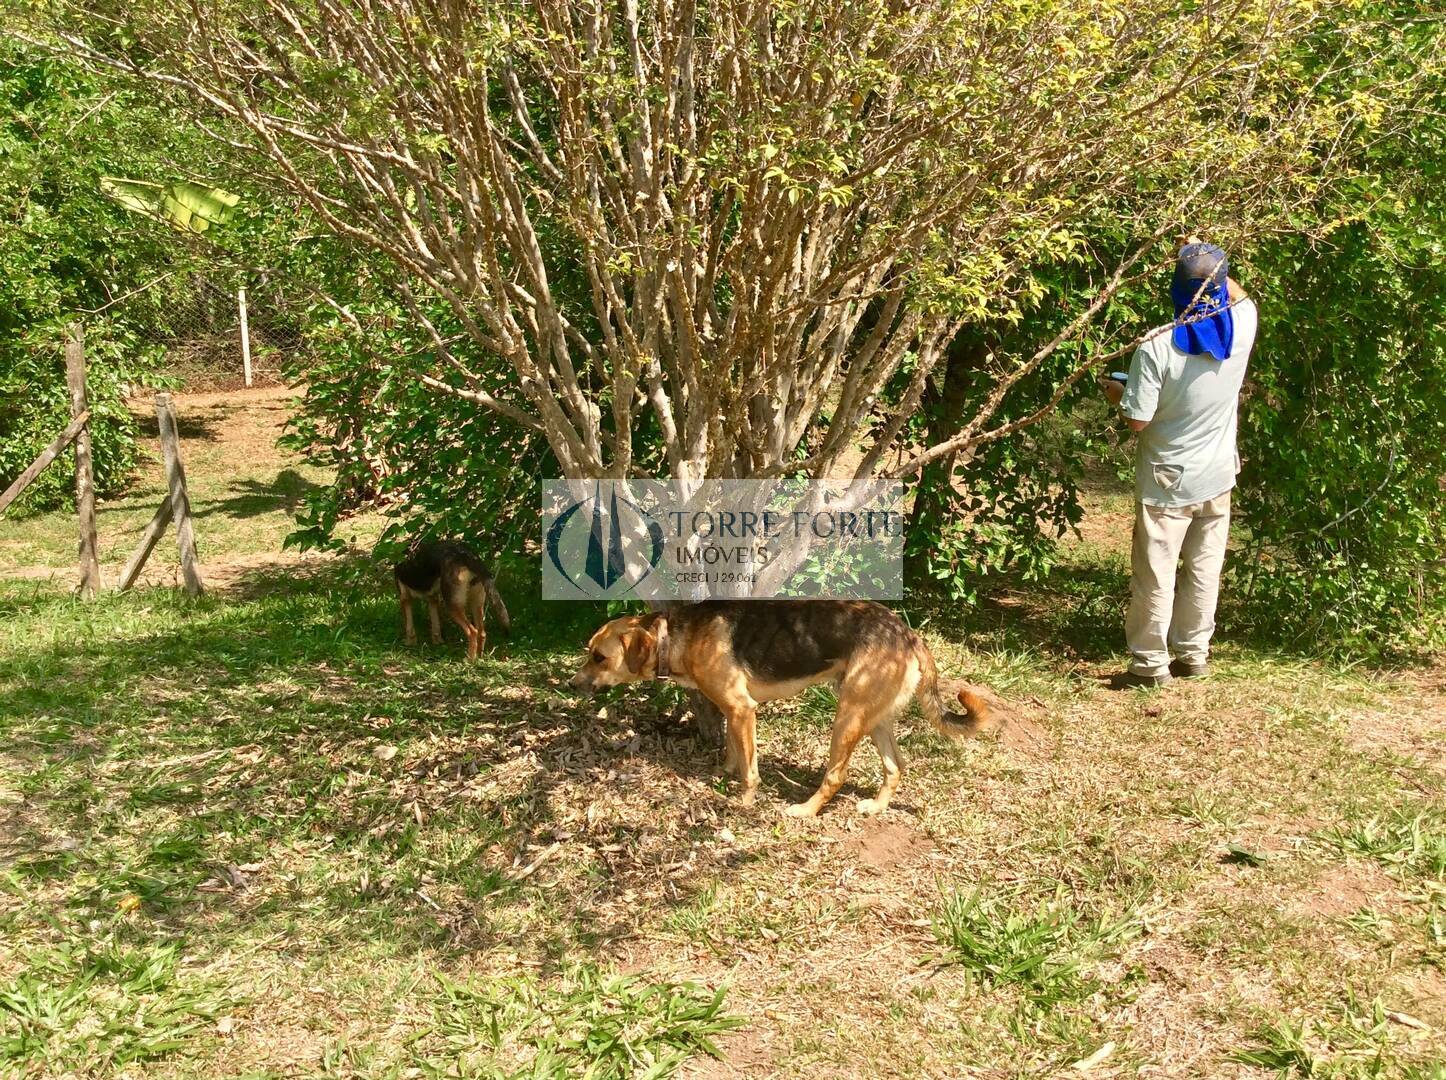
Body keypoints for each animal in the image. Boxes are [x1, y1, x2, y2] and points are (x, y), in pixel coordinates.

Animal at [569, 595, 989, 815]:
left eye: (599, 657)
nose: (572, 685)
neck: (673, 636)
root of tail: (909, 634)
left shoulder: (742, 709)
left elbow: (749, 770)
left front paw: (743, 801)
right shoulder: (734, 712)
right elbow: (733, 752)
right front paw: (723, 775)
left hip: (847, 718)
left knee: (836, 775)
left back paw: (805, 810)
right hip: (874, 717)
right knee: (896, 766)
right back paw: (876, 806)